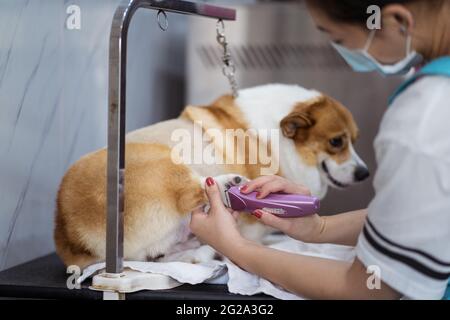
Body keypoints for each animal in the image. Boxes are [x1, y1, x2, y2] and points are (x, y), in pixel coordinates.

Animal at [53, 84, 370, 268]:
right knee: (190, 194)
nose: (365, 173)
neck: (281, 134)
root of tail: (68, 231)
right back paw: (225, 184)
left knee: (157, 255)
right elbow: (251, 238)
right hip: (166, 161)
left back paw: (200, 250)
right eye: (336, 142)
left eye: (354, 140)